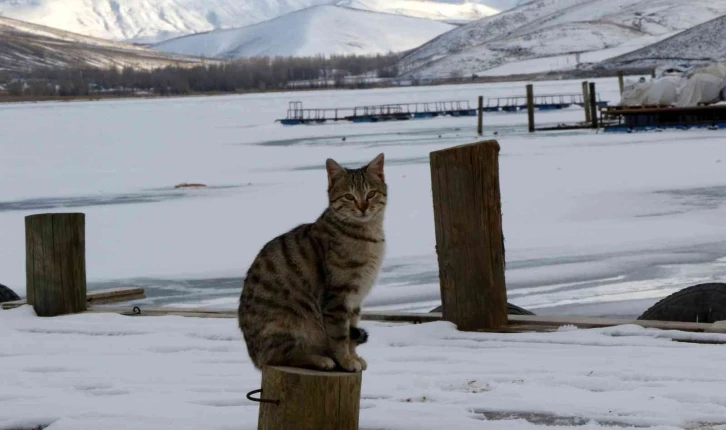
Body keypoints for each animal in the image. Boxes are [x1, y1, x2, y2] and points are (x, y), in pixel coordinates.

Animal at [237, 155, 386, 372]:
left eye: (371, 193)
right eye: (349, 197)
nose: (363, 207)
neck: (368, 235)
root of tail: (254, 357)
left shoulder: (356, 299)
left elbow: (351, 334)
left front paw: (354, 357)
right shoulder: (338, 298)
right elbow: (340, 336)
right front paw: (346, 361)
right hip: (290, 326)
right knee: (278, 357)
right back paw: (320, 360)